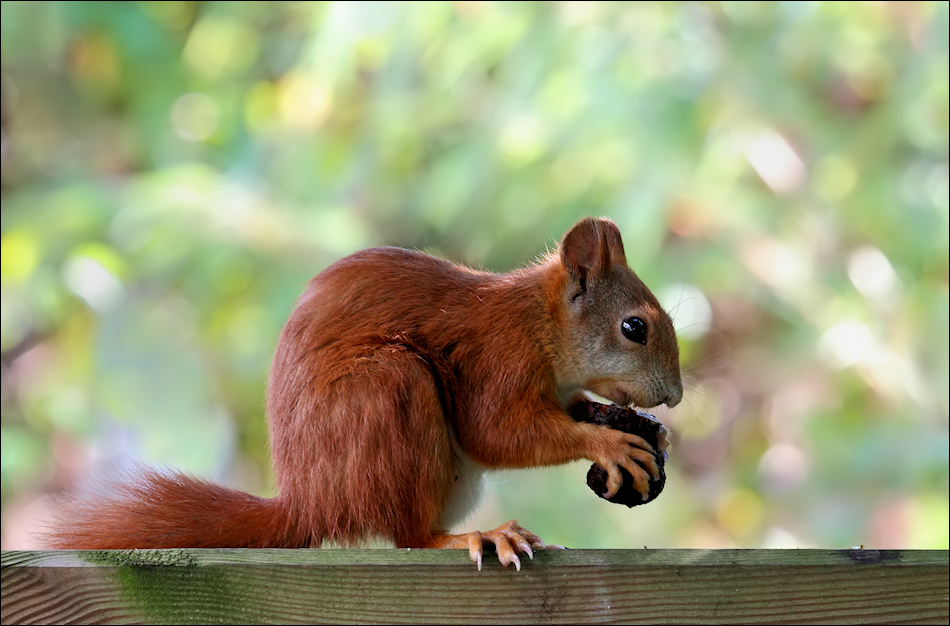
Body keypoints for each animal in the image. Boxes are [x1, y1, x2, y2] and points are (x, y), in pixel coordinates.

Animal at [48, 217, 684, 568]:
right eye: (634, 327)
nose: (675, 397)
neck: (540, 324)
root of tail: (312, 503)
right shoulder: (497, 359)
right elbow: (496, 432)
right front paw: (608, 444)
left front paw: (638, 426)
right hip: (387, 390)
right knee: (409, 539)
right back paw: (472, 537)